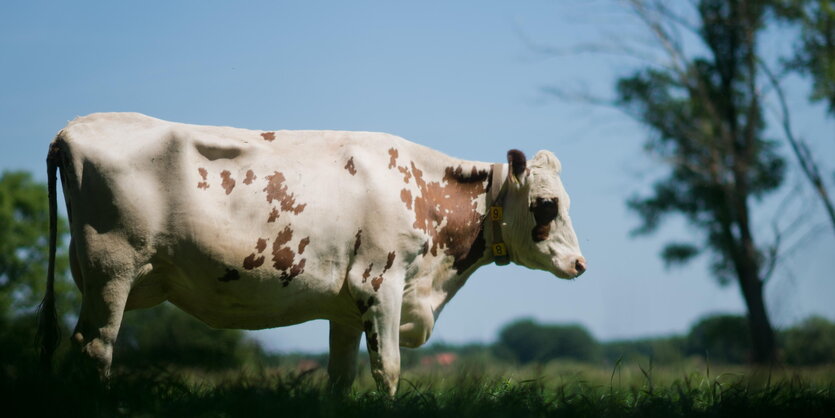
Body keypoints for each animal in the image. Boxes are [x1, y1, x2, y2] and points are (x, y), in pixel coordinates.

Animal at [37, 112, 588, 396]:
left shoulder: (346, 306)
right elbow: (388, 371)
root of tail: (72, 129)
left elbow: (340, 379)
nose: (581, 264)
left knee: (79, 346)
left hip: (98, 279)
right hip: (113, 271)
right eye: (547, 204)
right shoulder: (380, 284)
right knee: (97, 348)